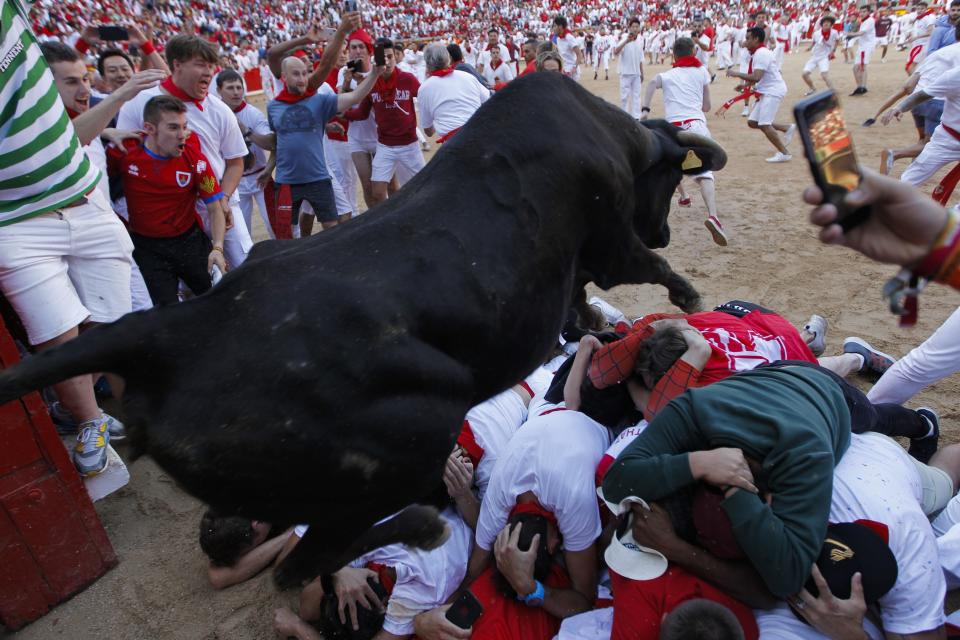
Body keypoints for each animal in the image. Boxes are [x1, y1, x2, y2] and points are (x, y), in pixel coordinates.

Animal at [0, 74, 724, 584]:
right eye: (668, 181)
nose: (665, 226)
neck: (606, 133)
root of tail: (172, 333)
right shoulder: (611, 241)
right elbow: (643, 267)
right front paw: (686, 295)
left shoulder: (574, 269)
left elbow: (581, 307)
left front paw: (595, 330)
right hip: (409, 441)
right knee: (304, 564)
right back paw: (425, 526)